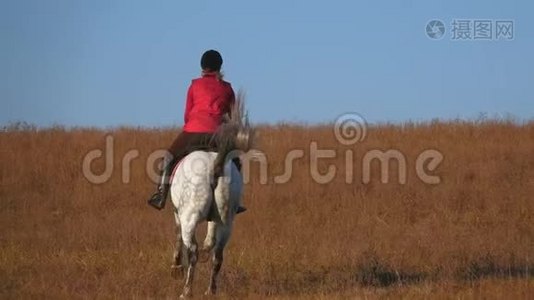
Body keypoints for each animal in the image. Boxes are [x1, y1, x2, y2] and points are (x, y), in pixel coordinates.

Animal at [172, 96, 255, 298]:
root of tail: (214, 165)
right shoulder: (214, 217)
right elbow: (210, 238)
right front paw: (206, 247)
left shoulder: (178, 214)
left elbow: (178, 236)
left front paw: (176, 267)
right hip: (226, 219)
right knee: (218, 254)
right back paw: (211, 290)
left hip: (190, 216)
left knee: (192, 251)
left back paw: (187, 291)